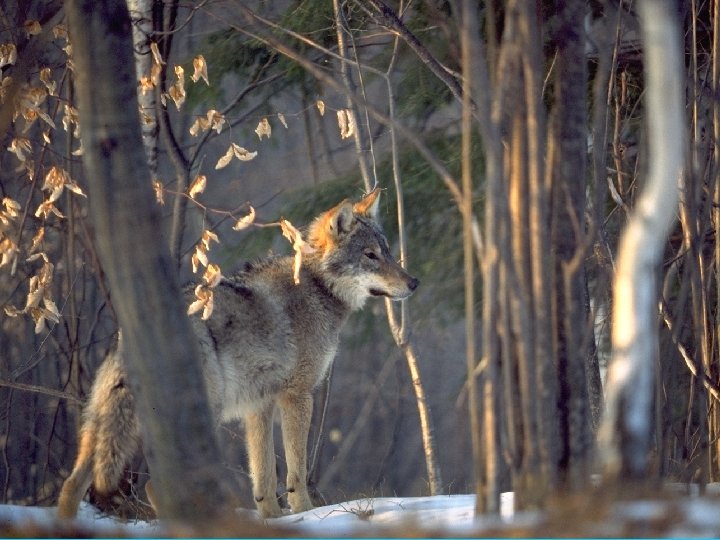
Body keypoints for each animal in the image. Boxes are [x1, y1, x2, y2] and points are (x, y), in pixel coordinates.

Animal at [57, 190, 416, 520]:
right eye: (370, 256)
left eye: (386, 251)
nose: (414, 282)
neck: (316, 288)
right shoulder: (297, 396)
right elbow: (296, 472)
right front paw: (307, 513)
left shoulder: (258, 406)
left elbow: (263, 476)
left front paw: (274, 520)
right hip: (201, 413)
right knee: (153, 487)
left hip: (98, 423)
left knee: (71, 485)